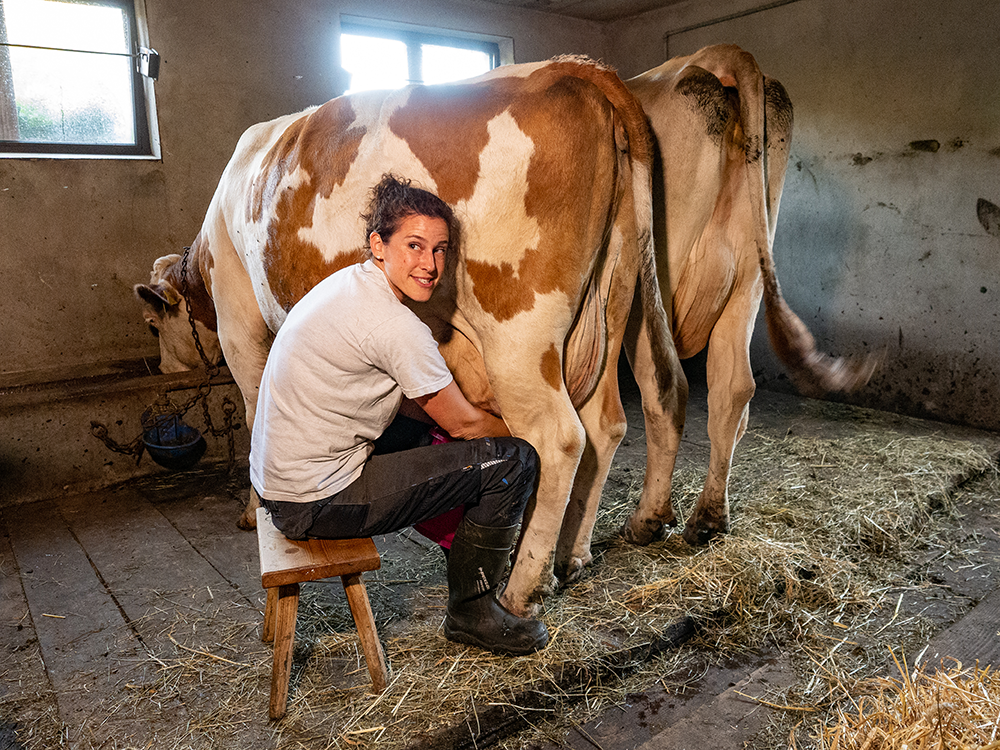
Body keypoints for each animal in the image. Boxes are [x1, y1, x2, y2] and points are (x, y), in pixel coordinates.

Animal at [133, 54, 684, 616]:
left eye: (153, 323)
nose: (162, 371)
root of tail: (576, 68)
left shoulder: (240, 325)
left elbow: (252, 418)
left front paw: (252, 509)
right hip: (613, 306)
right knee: (613, 421)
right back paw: (573, 555)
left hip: (519, 334)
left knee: (557, 437)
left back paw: (522, 588)